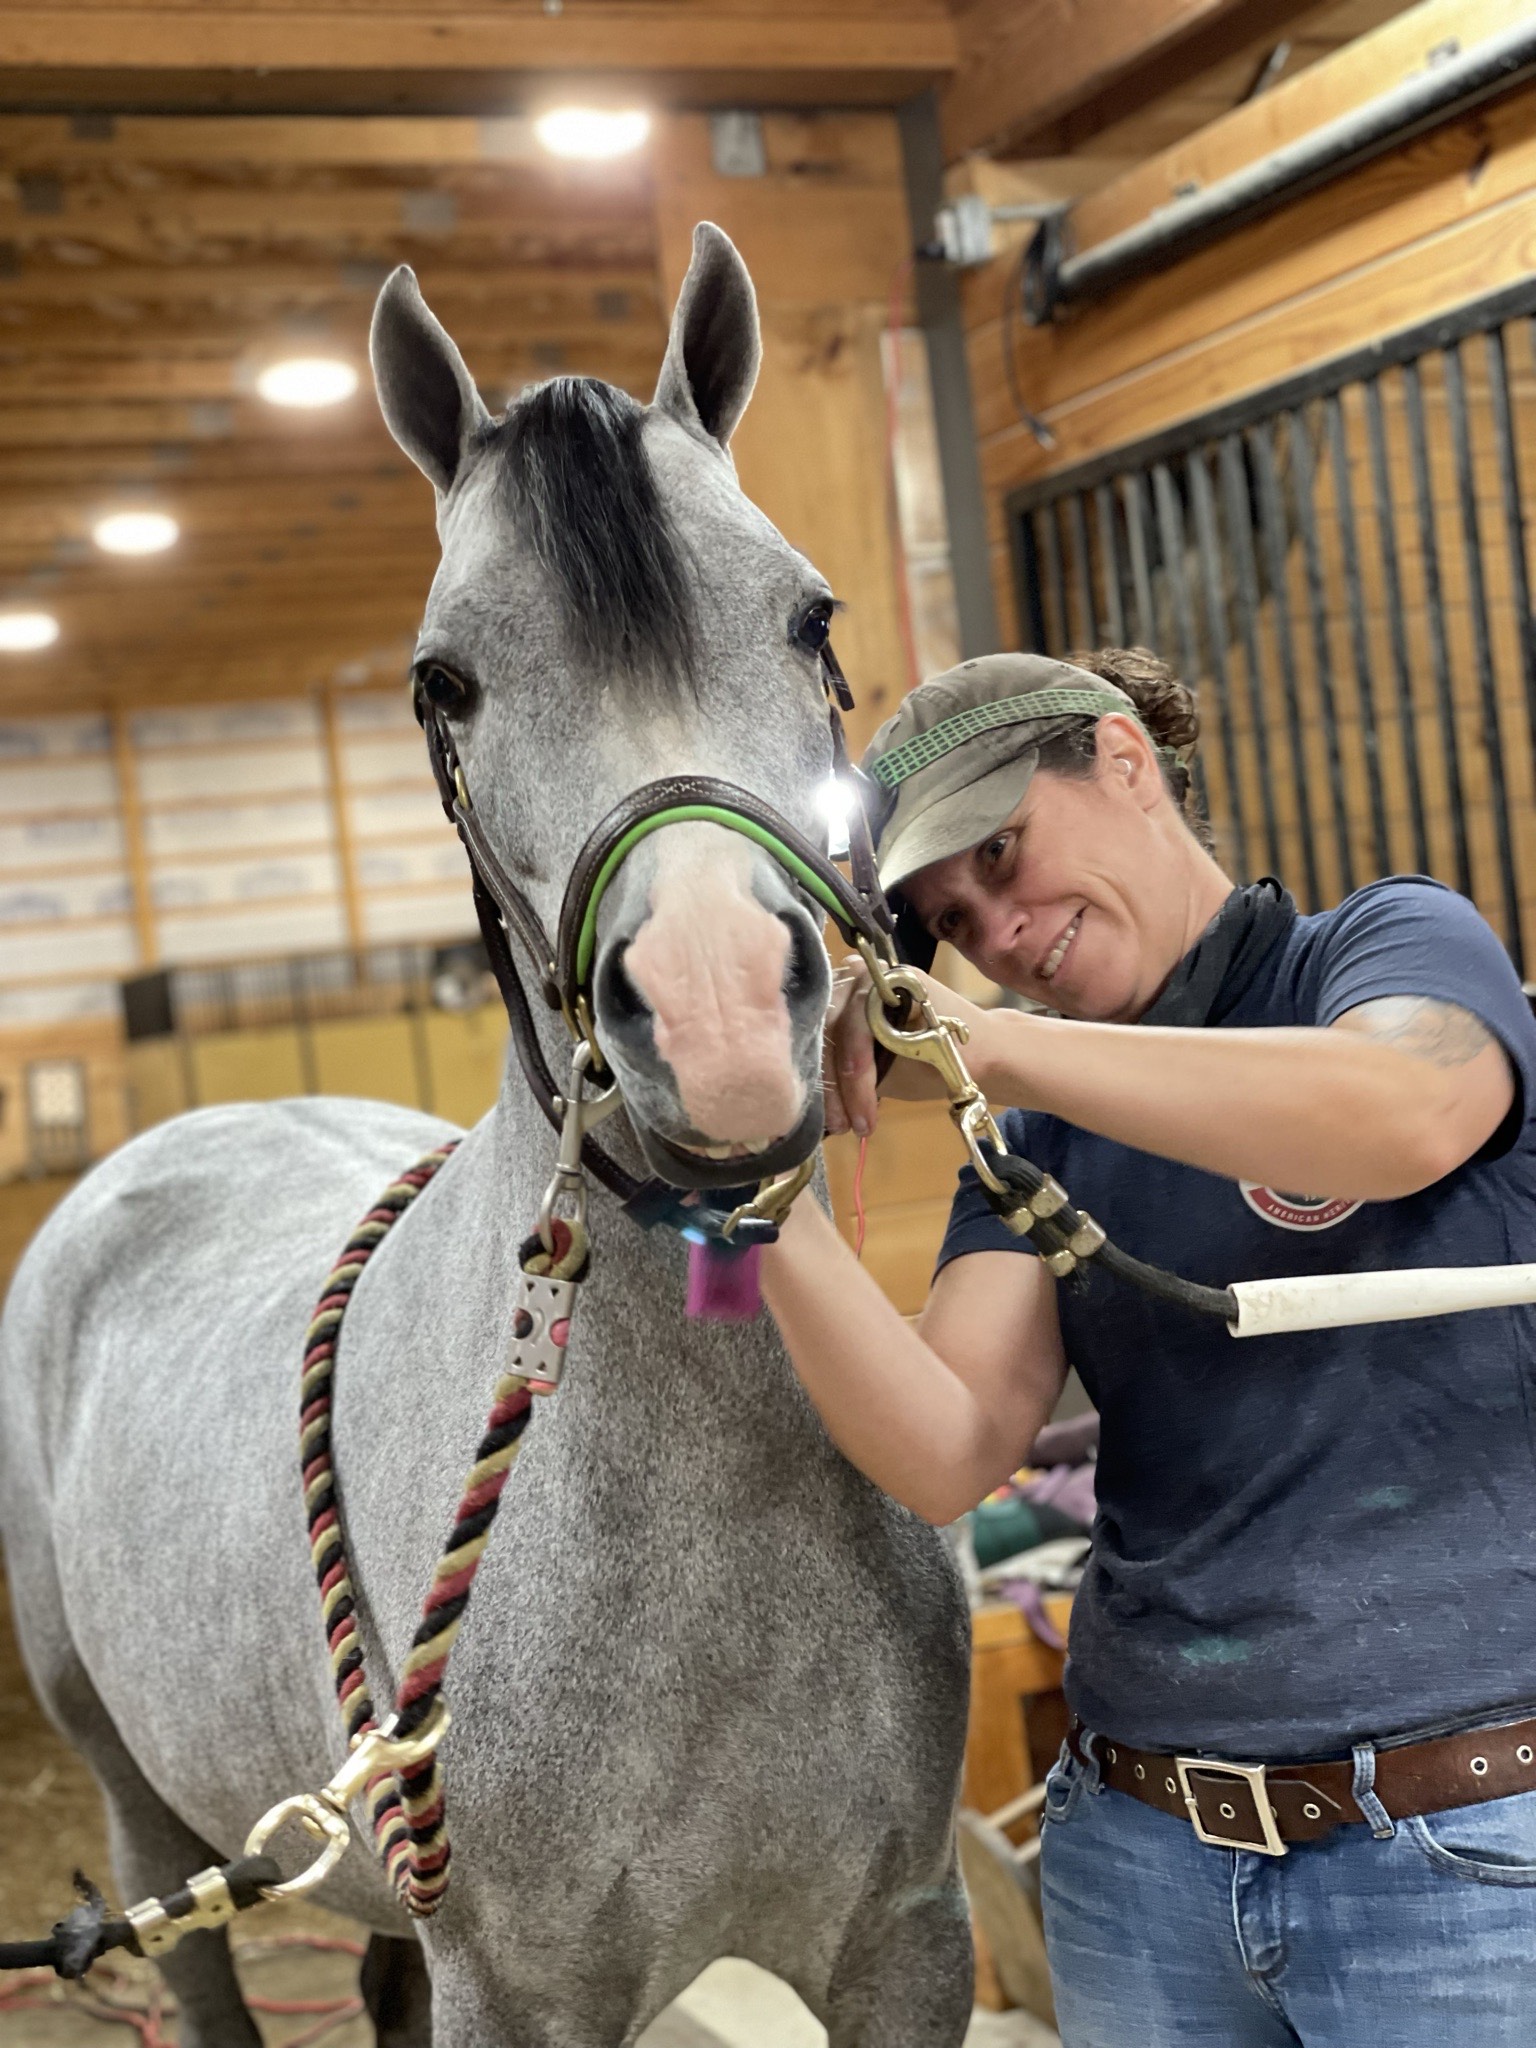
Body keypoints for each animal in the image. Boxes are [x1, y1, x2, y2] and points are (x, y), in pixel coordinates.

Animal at [0, 223, 972, 2048]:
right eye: (439, 682)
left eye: (810, 616)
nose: (720, 1008)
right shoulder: (517, 1993)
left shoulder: (903, 1945)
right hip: (151, 1811)